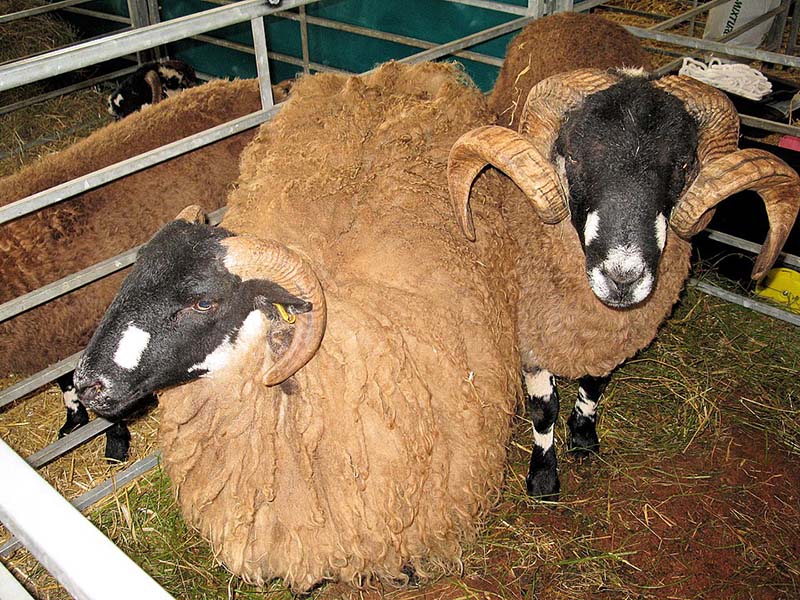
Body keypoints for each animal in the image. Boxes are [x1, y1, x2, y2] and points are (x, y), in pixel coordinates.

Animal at [450, 35, 800, 500]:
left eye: (684, 163)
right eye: (574, 158)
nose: (622, 277)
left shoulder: (611, 339)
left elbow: (595, 385)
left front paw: (584, 437)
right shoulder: (531, 337)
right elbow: (545, 410)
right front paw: (543, 477)